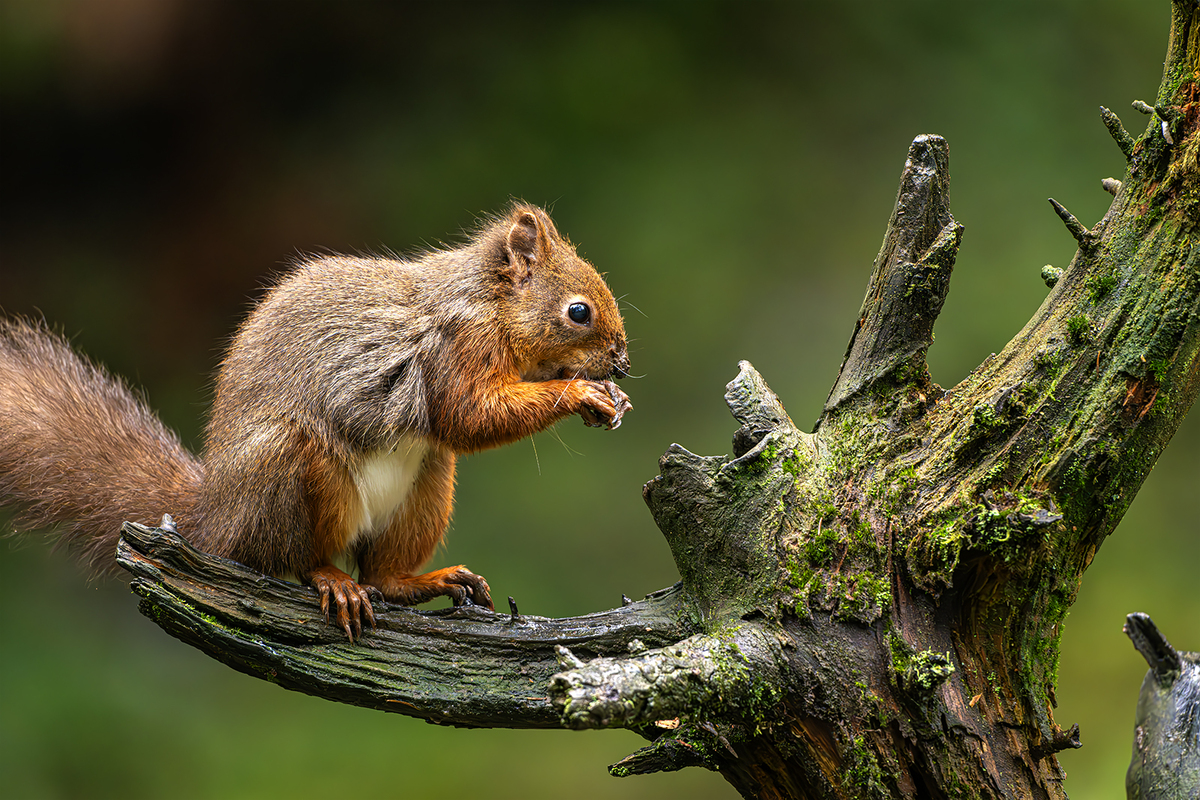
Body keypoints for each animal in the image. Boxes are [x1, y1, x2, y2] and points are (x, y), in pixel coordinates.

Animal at [0, 203, 633, 642]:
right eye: (578, 311)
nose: (622, 359)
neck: (490, 304)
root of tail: (216, 521)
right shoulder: (454, 350)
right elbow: (468, 416)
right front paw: (582, 392)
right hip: (296, 466)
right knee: (296, 559)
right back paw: (332, 580)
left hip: (425, 484)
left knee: (383, 573)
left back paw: (424, 581)